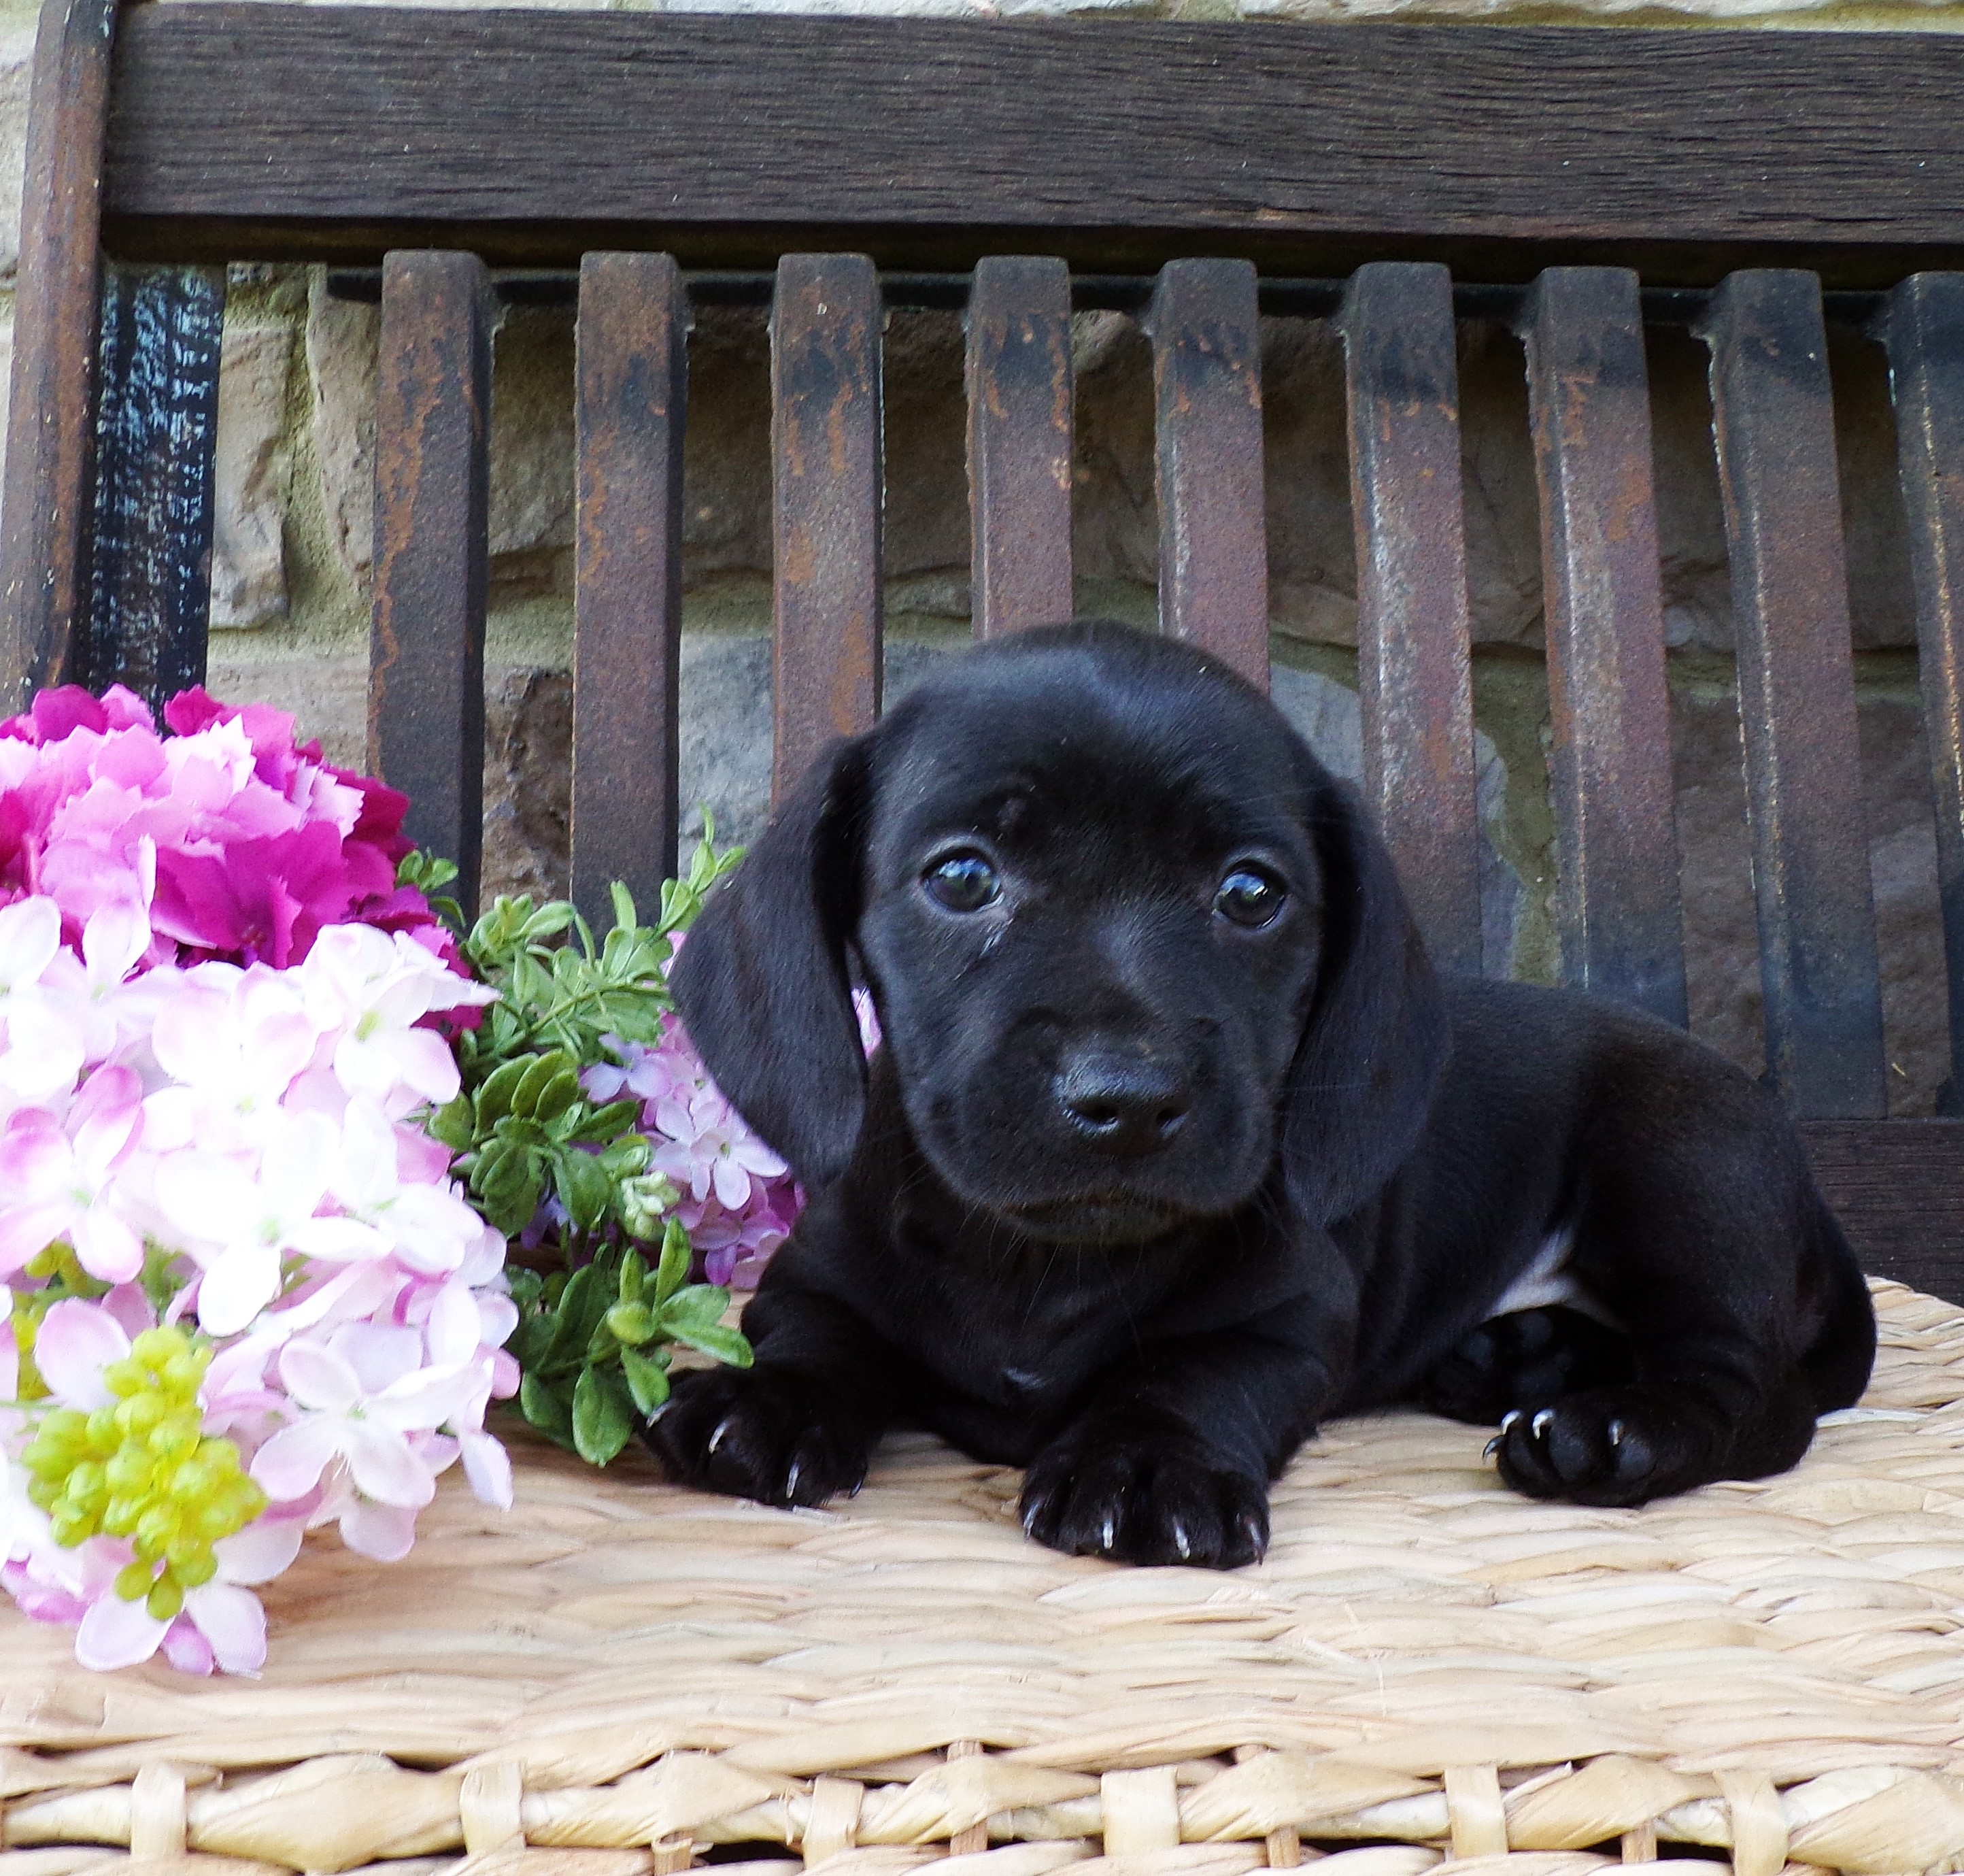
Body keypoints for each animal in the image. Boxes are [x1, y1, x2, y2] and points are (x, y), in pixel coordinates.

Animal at [651, 624, 1877, 1563]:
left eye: (1250, 892)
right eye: (960, 874)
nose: (1128, 1097)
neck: (1041, 1263)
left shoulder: (1287, 1316)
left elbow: (1191, 1372)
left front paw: (1145, 1463)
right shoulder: (814, 1281)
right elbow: (816, 1341)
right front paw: (762, 1404)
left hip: (1680, 1160)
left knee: (1751, 1387)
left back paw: (1608, 1429)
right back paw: (1513, 1357)